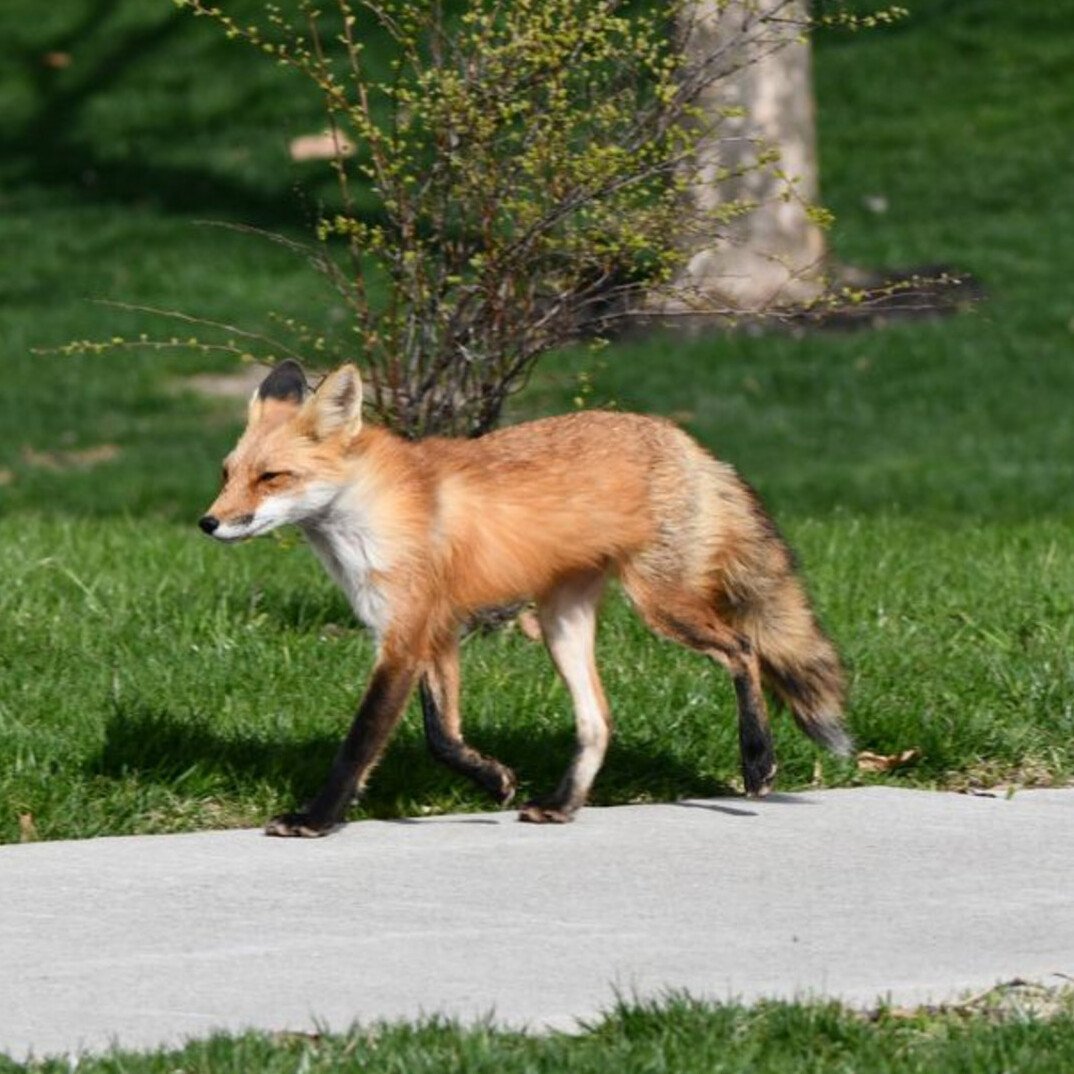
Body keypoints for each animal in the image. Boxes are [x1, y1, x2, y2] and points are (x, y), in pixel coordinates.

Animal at [200, 359, 851, 837]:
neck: (371, 514)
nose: (208, 523)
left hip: (662, 603)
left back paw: (757, 760)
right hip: (561, 622)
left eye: (272, 478)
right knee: (598, 721)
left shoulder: (406, 636)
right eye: (227, 474)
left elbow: (360, 742)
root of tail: (683, 438)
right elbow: (442, 736)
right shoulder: (433, 629)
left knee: (744, 650)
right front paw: (492, 779)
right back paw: (562, 804)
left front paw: (316, 818)